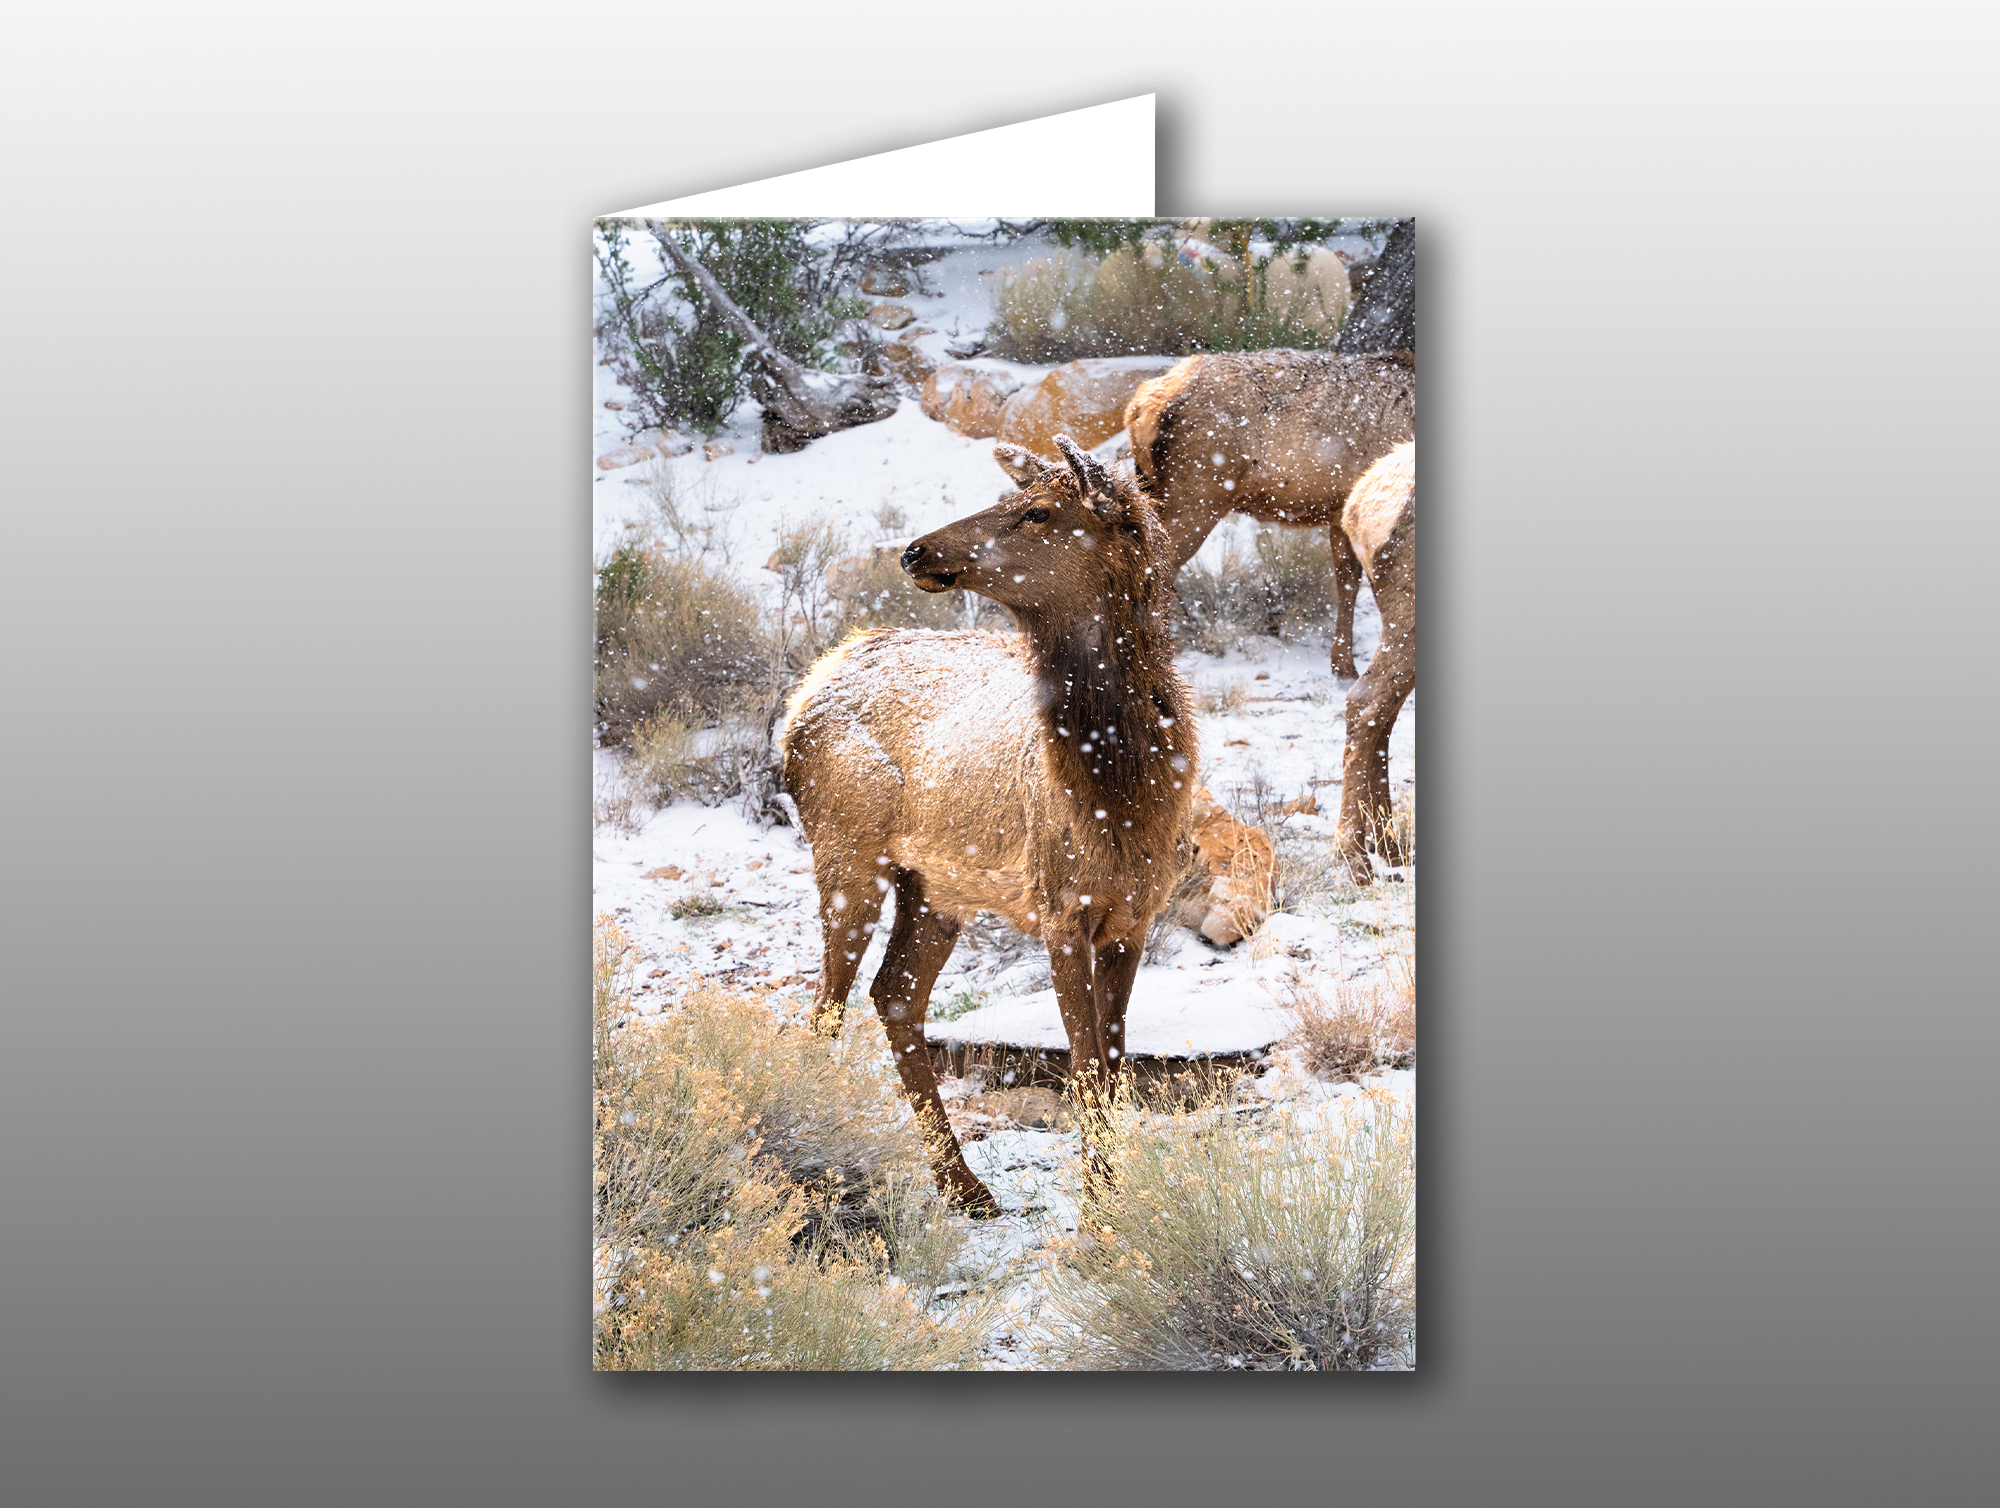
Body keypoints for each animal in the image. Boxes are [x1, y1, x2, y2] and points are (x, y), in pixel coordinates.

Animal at [778, 435, 1197, 1217]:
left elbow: (1115, 1067)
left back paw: (963, 1185)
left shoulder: (1135, 914)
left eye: (1038, 511)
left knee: (894, 994)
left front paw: (1113, 1198)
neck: (1123, 790)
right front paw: (1098, 1212)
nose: (915, 550)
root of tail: (806, 690)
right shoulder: (1062, 907)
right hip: (846, 856)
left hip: (936, 888)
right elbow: (1086, 1067)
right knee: (825, 1007)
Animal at [1124, 349, 1415, 683]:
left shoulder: (1341, 513)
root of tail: (1137, 407)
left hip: (1156, 487)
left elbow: (1347, 581)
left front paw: (1342, 665)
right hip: (1195, 496)